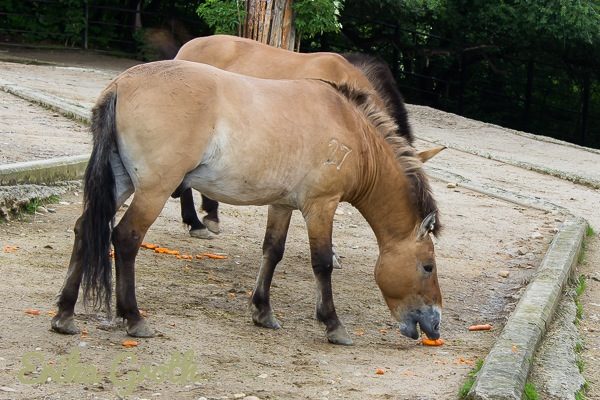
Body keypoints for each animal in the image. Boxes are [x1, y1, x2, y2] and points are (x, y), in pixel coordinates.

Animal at [51, 59, 442, 344]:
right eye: (428, 266)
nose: (435, 324)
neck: (351, 132)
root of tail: (121, 84)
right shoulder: (321, 206)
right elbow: (321, 263)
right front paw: (333, 324)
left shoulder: (282, 205)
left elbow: (272, 252)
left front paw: (263, 312)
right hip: (153, 191)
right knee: (125, 238)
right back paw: (133, 318)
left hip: (121, 183)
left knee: (85, 229)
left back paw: (65, 315)